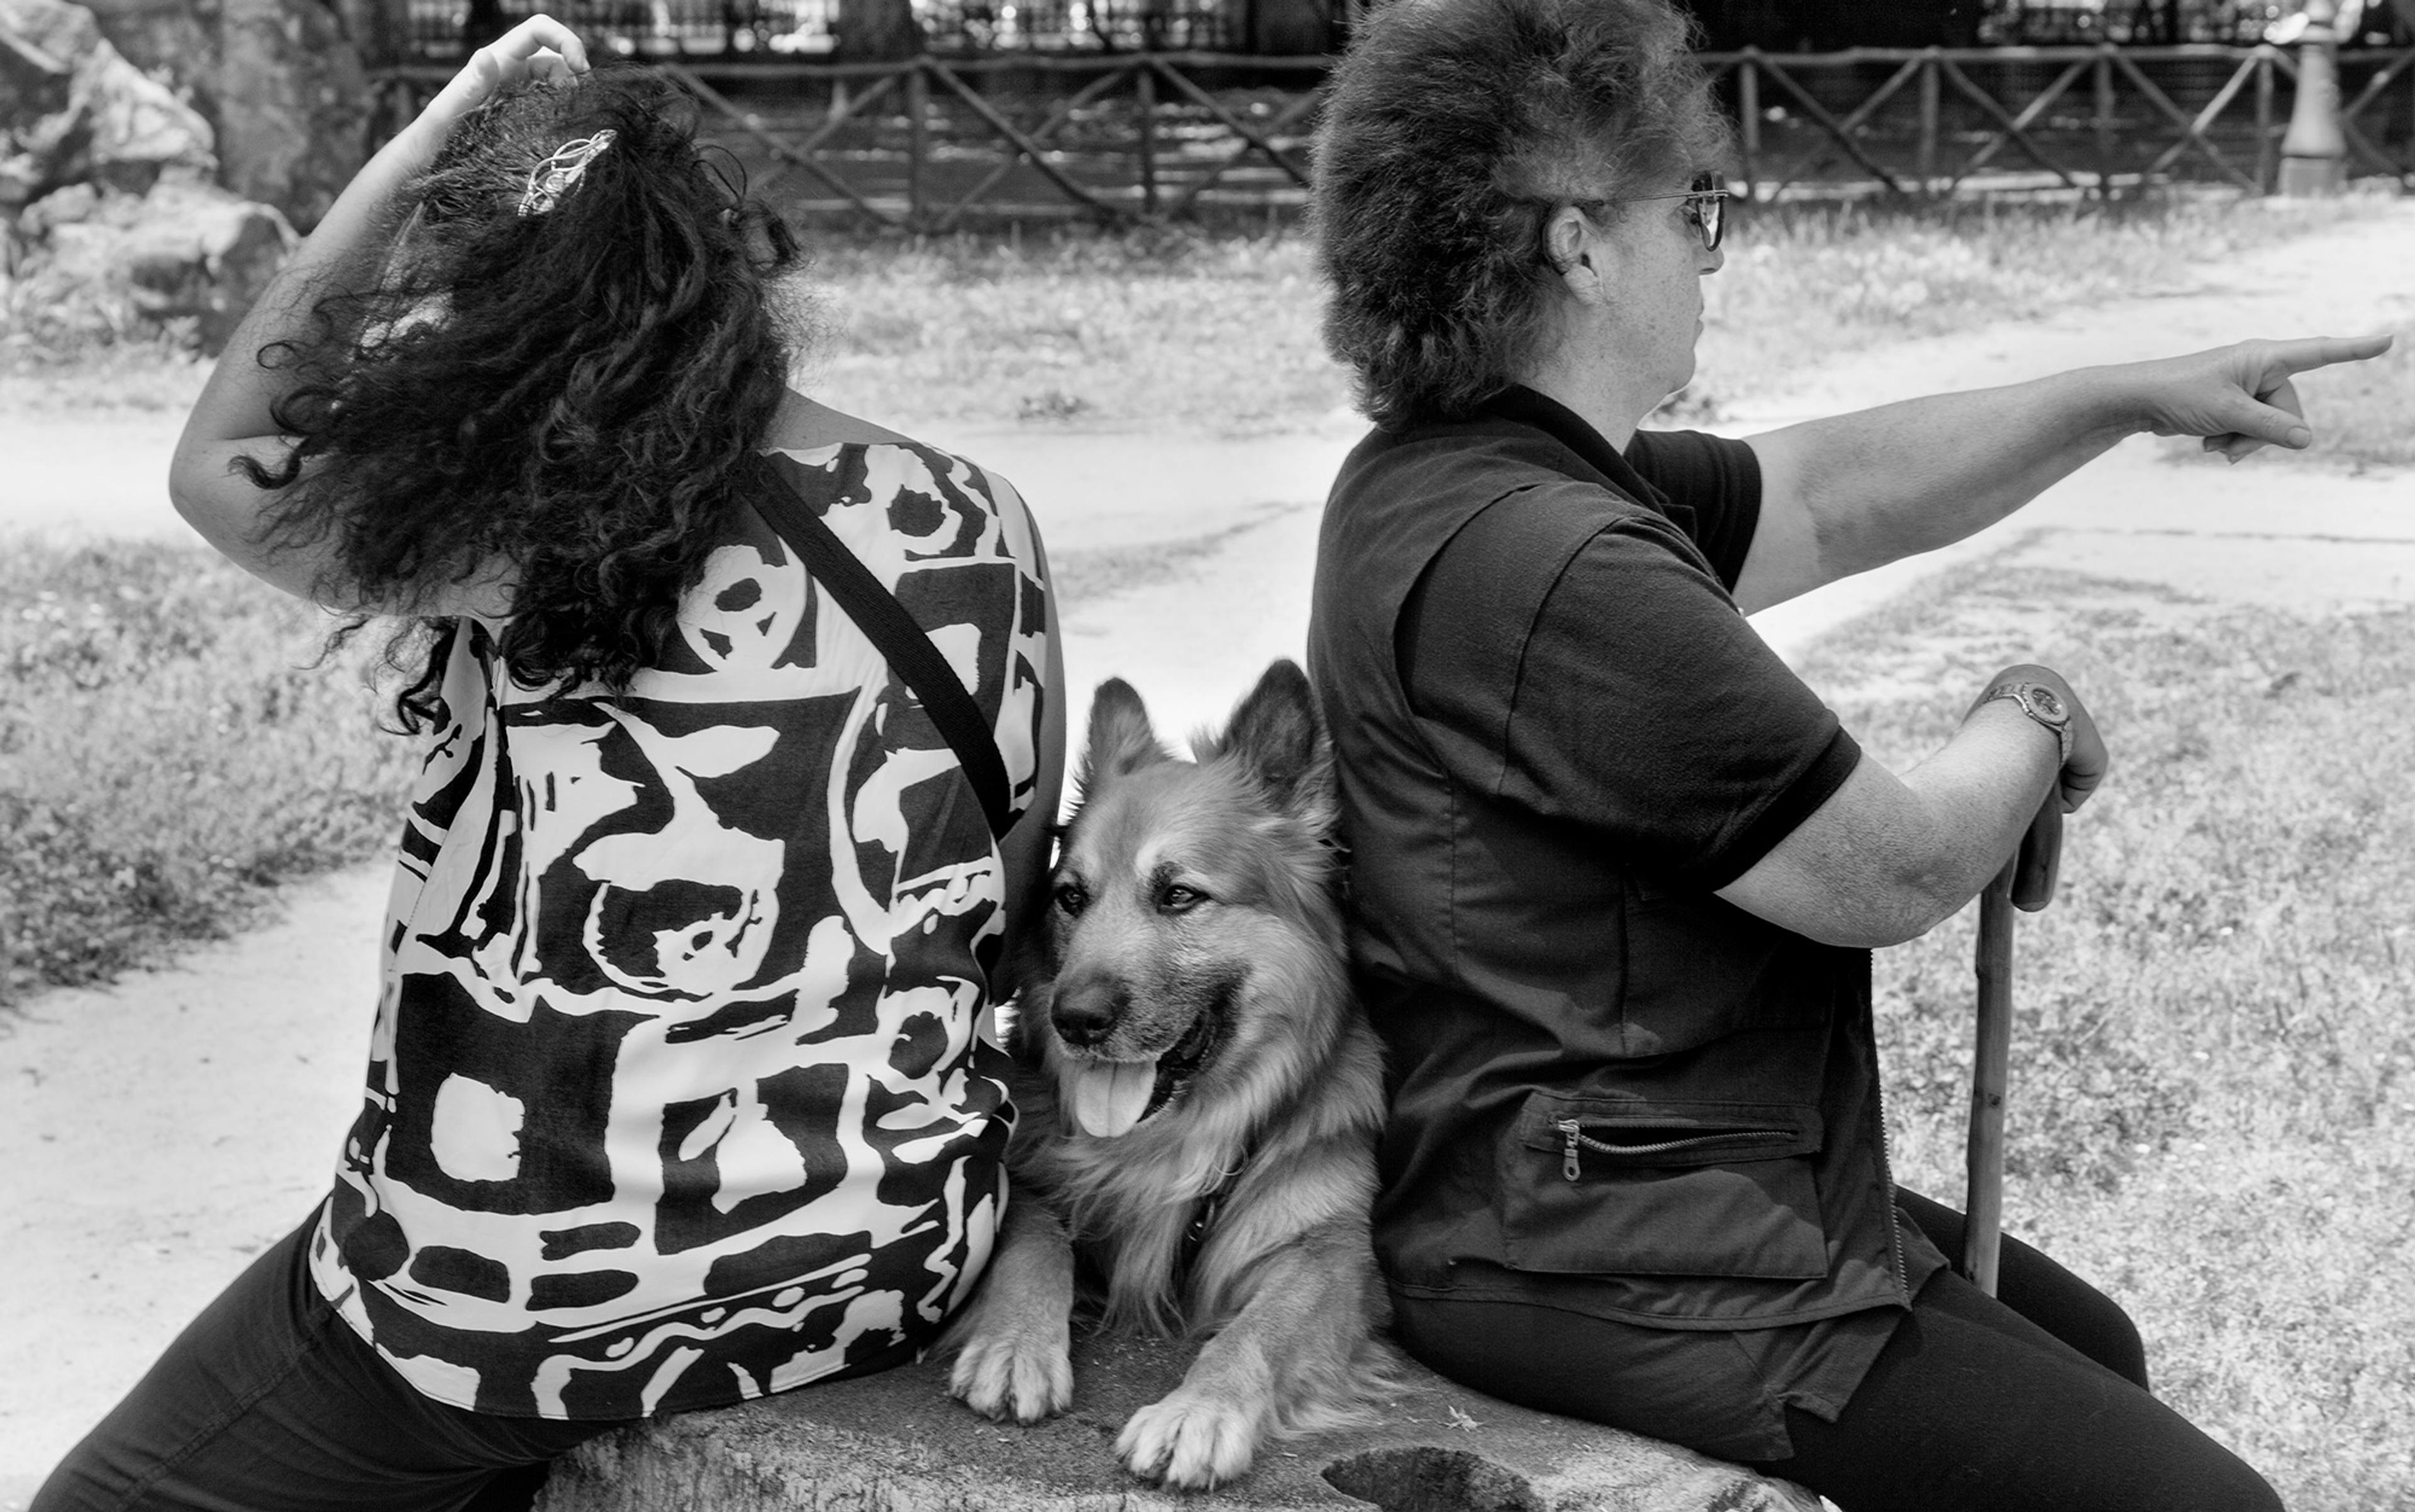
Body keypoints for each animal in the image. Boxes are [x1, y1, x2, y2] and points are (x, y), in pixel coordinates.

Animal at [947, 657, 1401, 1487]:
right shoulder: (1027, 1174)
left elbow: (1261, 1327)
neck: (1176, 1135)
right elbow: (1032, 1238)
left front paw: (1200, 1412)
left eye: (1179, 894)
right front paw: (1015, 1342)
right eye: (1071, 897)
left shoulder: (1335, 1251)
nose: (1075, 1019)